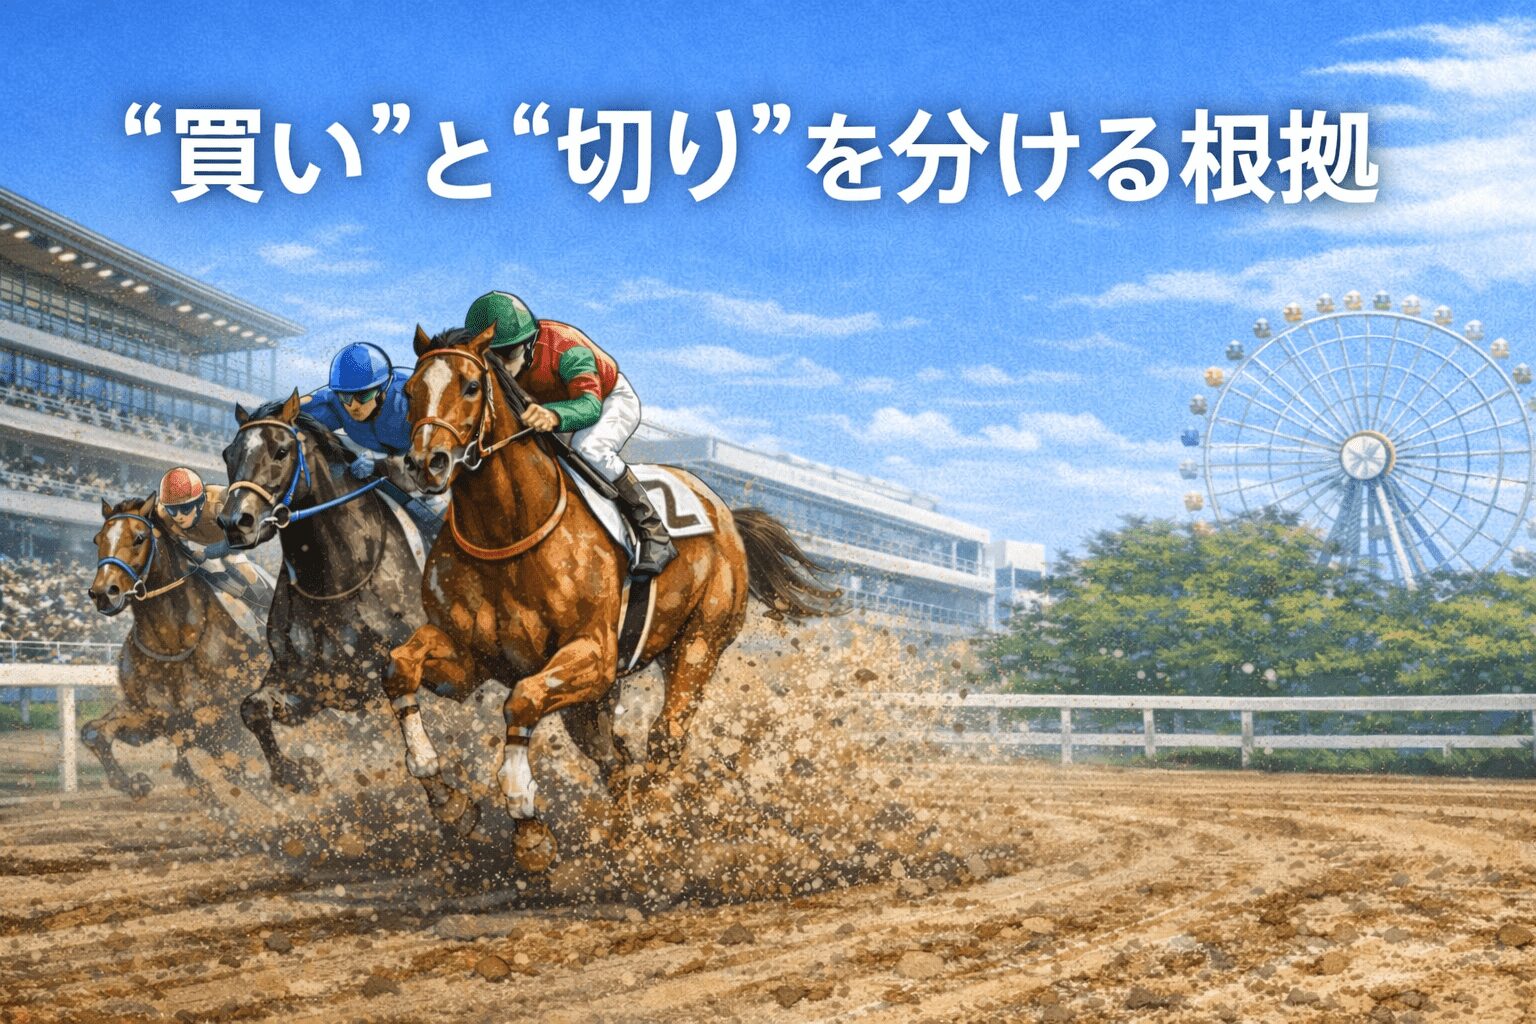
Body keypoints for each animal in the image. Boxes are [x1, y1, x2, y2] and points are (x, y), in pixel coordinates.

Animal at [85, 496, 268, 799]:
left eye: (139, 538)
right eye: (97, 539)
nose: (103, 593)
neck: (172, 644)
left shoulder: (222, 723)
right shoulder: (150, 716)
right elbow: (93, 732)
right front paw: (136, 783)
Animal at [217, 391, 425, 791]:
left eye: (281, 450)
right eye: (228, 454)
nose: (236, 522)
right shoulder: (318, 684)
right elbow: (253, 708)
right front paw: (296, 773)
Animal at [384, 323, 841, 868]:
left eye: (471, 386)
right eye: (411, 391)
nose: (425, 464)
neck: (506, 533)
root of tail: (725, 512)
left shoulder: (593, 655)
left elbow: (522, 701)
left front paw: (527, 826)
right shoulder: (472, 657)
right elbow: (400, 666)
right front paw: (447, 799)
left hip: (699, 643)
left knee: (666, 739)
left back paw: (653, 830)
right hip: (594, 700)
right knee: (614, 757)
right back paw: (623, 839)